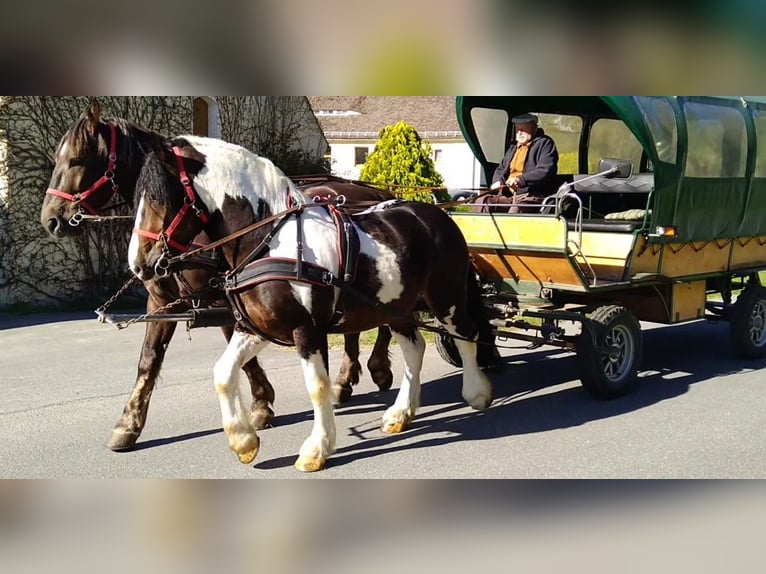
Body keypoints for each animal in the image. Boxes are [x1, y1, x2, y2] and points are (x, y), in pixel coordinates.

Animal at [39, 100, 396, 452]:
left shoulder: (220, 297)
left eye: (76, 160)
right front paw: (128, 424)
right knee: (354, 327)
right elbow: (149, 359)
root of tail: (374, 194)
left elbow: (239, 351)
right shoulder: (161, 300)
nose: (50, 219)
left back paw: (375, 368)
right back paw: (346, 380)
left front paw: (261, 404)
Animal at [128, 137, 494, 471]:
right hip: (397, 308)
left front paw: (316, 449)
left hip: (446, 299)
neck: (271, 240)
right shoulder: (254, 329)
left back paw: (476, 393)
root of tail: (436, 213)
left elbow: (317, 387)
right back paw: (400, 414)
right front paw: (243, 441)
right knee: (414, 349)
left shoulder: (308, 331)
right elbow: (222, 373)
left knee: (467, 334)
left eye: (159, 197)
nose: (139, 264)